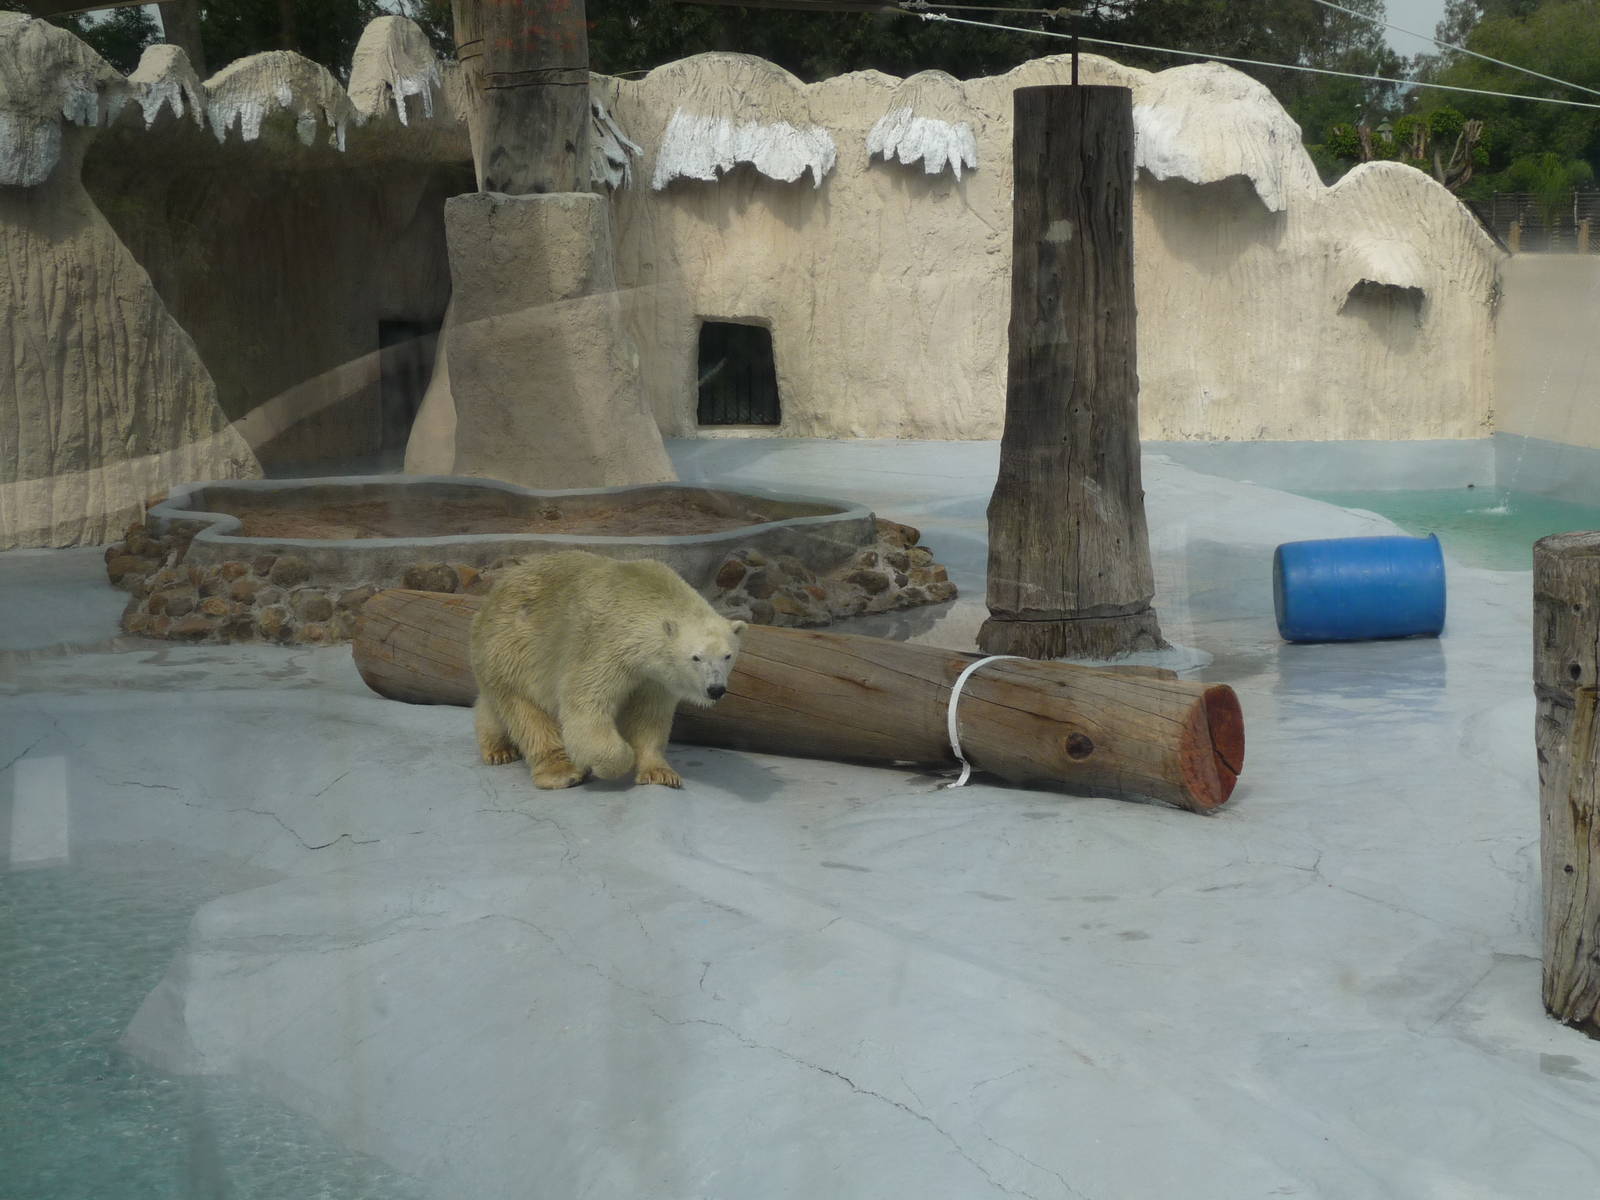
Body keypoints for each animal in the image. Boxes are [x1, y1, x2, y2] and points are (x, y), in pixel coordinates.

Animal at [469, 550, 746, 790]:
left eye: (728, 655)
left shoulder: (654, 678)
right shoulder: (603, 646)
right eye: (696, 657)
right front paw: (613, 762)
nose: (715, 689)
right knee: (527, 713)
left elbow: (648, 717)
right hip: (512, 651)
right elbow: (586, 706)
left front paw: (660, 773)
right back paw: (557, 770)